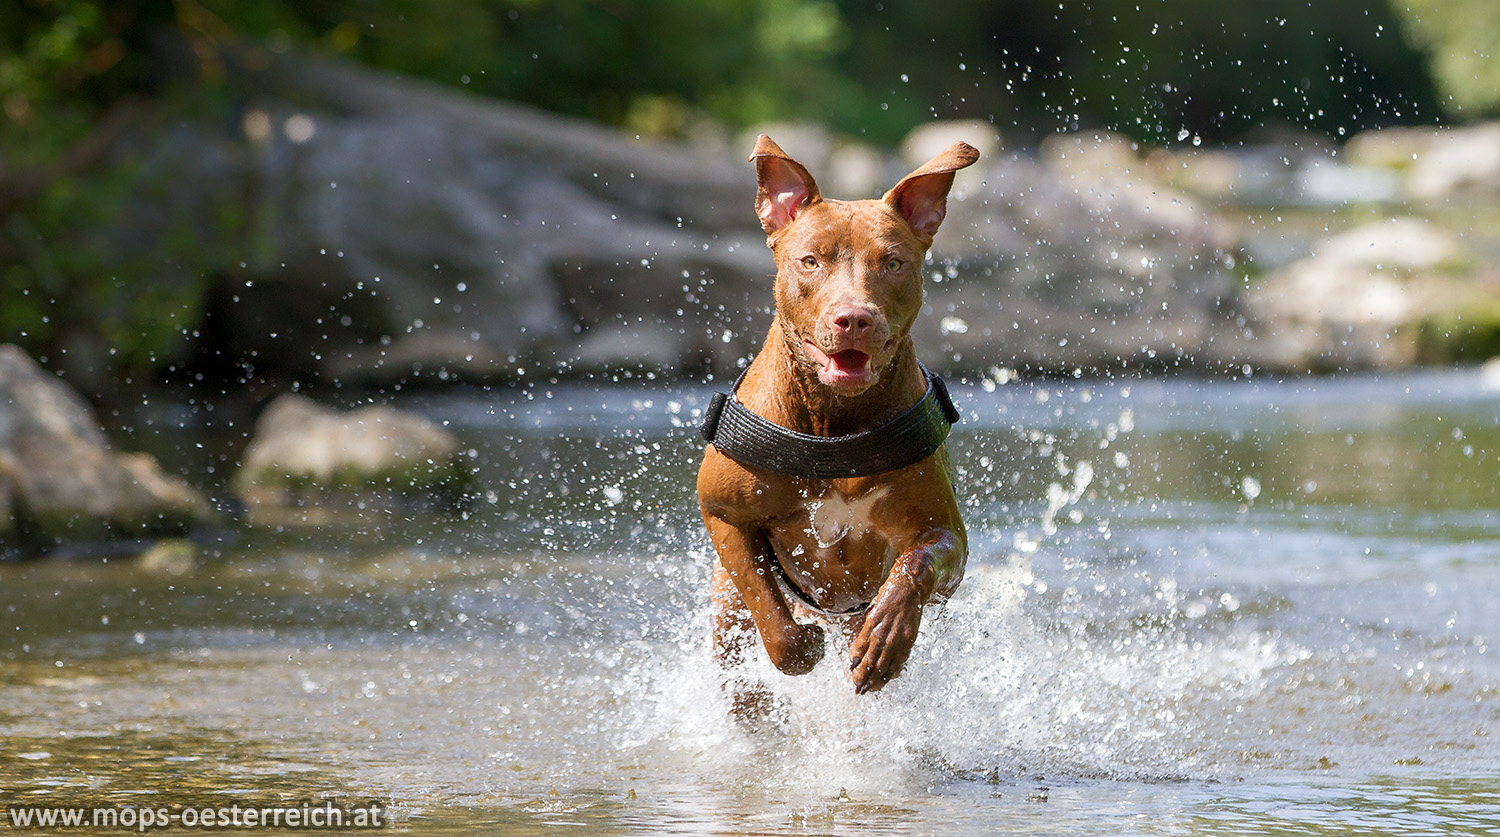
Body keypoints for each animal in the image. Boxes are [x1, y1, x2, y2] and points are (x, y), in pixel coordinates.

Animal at [696, 134, 978, 705]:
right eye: (809, 261)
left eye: (892, 263)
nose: (854, 318)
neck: (834, 424)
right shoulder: (722, 512)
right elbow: (770, 609)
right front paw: (801, 646)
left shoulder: (946, 535)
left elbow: (915, 566)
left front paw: (886, 638)